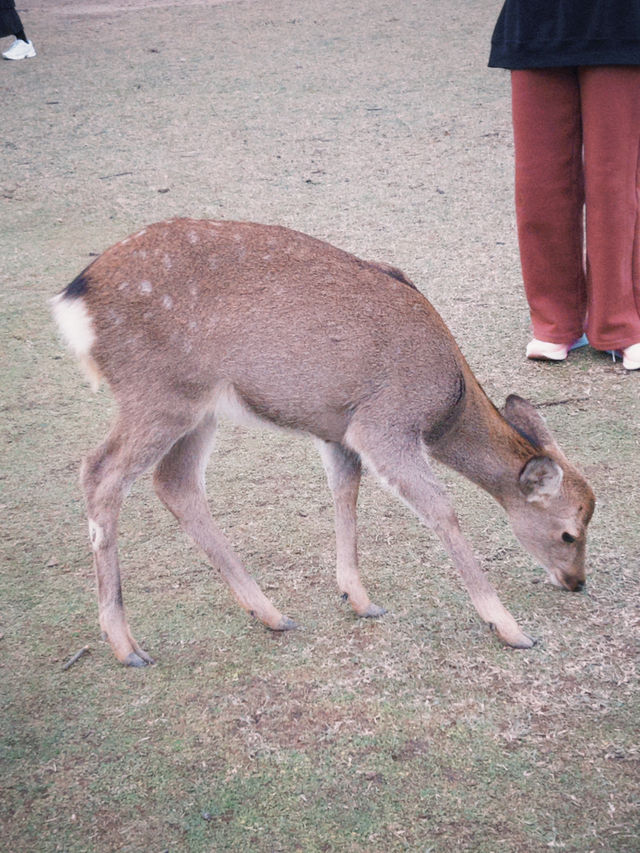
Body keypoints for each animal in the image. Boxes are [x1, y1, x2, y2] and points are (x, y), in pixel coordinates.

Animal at [51, 218, 595, 667]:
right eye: (569, 533)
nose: (576, 582)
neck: (447, 403)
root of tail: (75, 297)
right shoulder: (385, 423)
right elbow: (440, 508)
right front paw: (510, 628)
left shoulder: (339, 431)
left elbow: (345, 492)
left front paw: (359, 598)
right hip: (160, 392)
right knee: (99, 472)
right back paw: (126, 646)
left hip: (197, 407)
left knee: (175, 482)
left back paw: (270, 614)